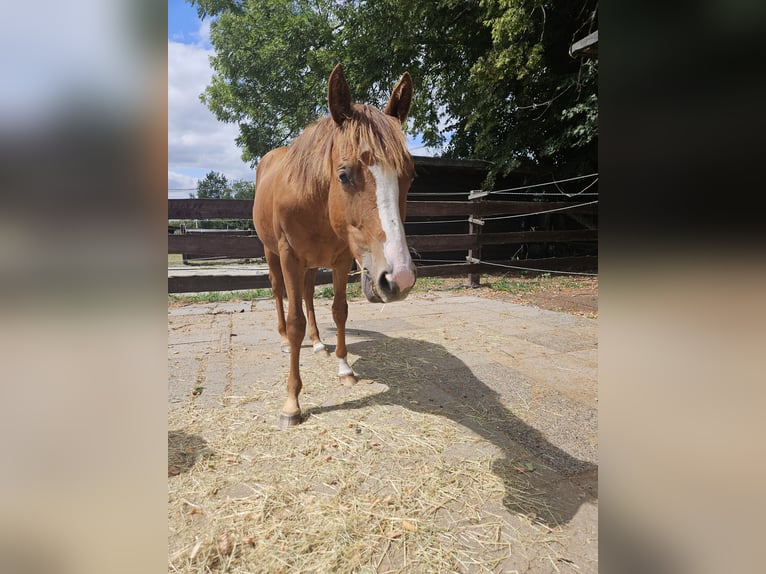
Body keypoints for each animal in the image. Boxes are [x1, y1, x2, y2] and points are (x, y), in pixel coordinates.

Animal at [253, 64, 417, 428]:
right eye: (344, 175)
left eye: (410, 176)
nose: (398, 278)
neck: (314, 197)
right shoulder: (289, 256)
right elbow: (295, 319)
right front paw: (292, 403)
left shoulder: (341, 260)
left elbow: (339, 311)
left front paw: (344, 369)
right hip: (273, 254)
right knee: (278, 293)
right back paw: (284, 341)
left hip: (314, 264)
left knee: (308, 294)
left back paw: (317, 343)